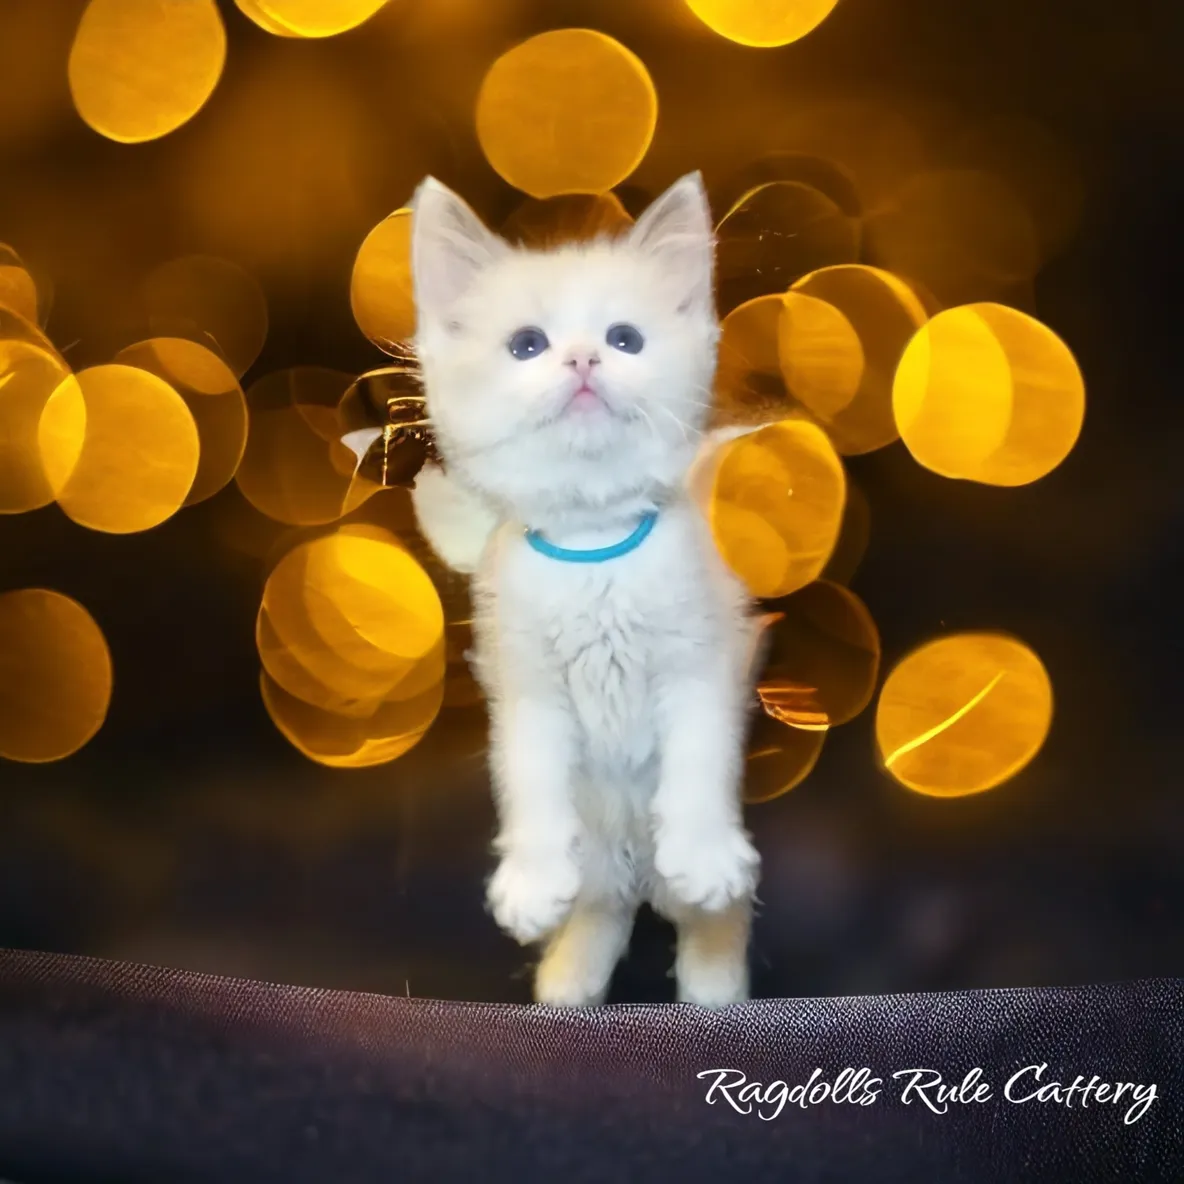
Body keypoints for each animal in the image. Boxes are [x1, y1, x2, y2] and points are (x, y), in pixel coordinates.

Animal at [407, 172, 757, 1008]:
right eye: (527, 345)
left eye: (625, 338)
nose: (582, 358)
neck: (596, 546)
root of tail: (633, 862)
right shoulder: (526, 693)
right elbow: (529, 780)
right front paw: (530, 885)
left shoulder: (703, 665)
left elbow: (700, 757)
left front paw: (704, 851)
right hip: (597, 855)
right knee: (602, 907)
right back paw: (567, 984)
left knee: (713, 915)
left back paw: (713, 988)